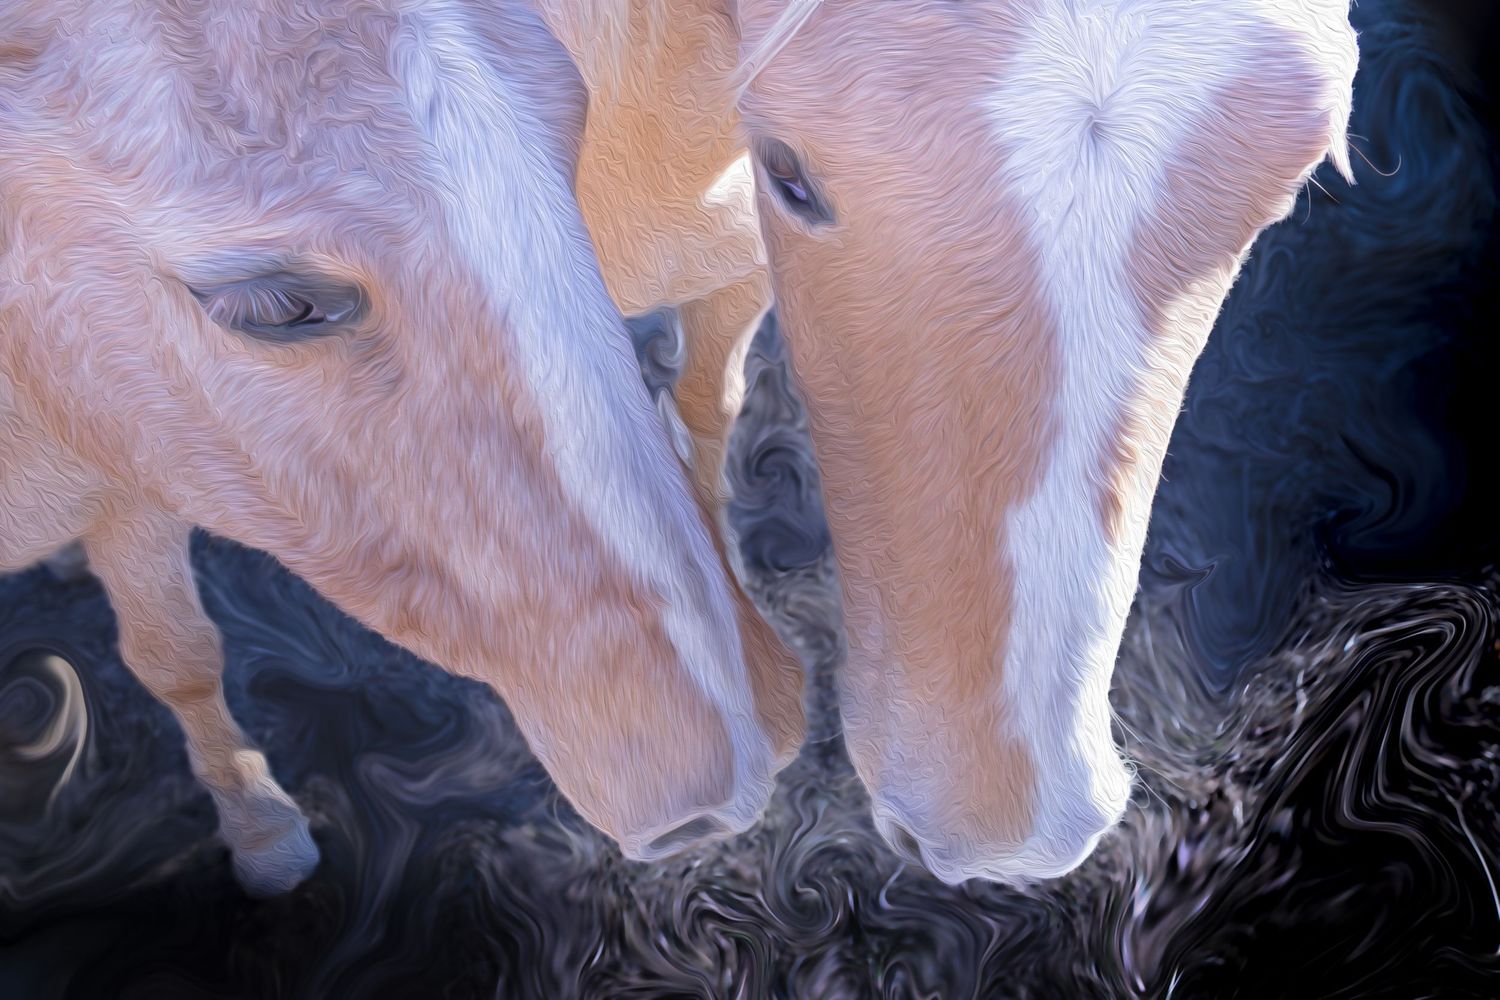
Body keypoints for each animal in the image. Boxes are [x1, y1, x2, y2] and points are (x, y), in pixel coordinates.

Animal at [0, 0, 806, 896]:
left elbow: (178, 654)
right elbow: (179, 654)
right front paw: (265, 833)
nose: (755, 750)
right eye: (277, 307)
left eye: (572, 122)